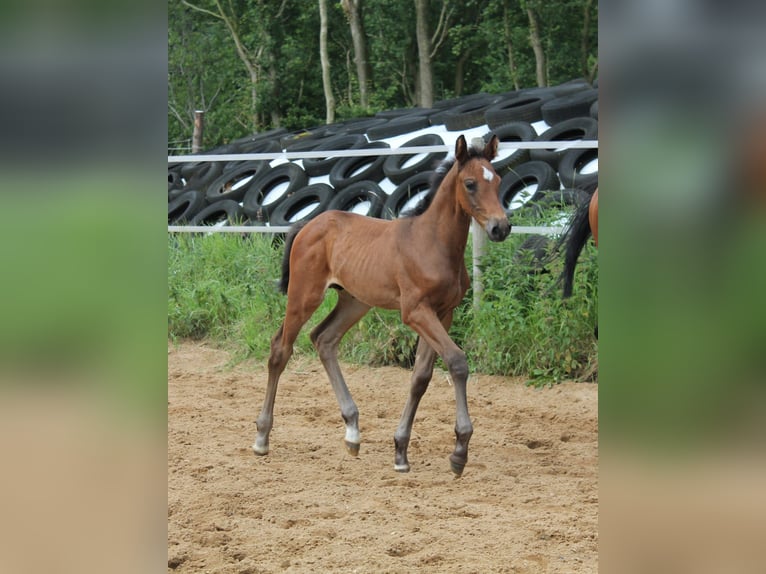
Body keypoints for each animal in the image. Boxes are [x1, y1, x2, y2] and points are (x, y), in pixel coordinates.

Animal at [255, 136, 512, 476]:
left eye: (497, 180)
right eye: (470, 184)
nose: (501, 228)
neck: (432, 243)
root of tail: (308, 225)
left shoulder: (443, 313)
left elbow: (421, 377)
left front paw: (401, 451)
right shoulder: (415, 312)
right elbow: (457, 361)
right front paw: (459, 453)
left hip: (354, 301)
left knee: (324, 339)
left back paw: (352, 433)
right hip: (304, 295)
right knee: (280, 349)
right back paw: (262, 437)